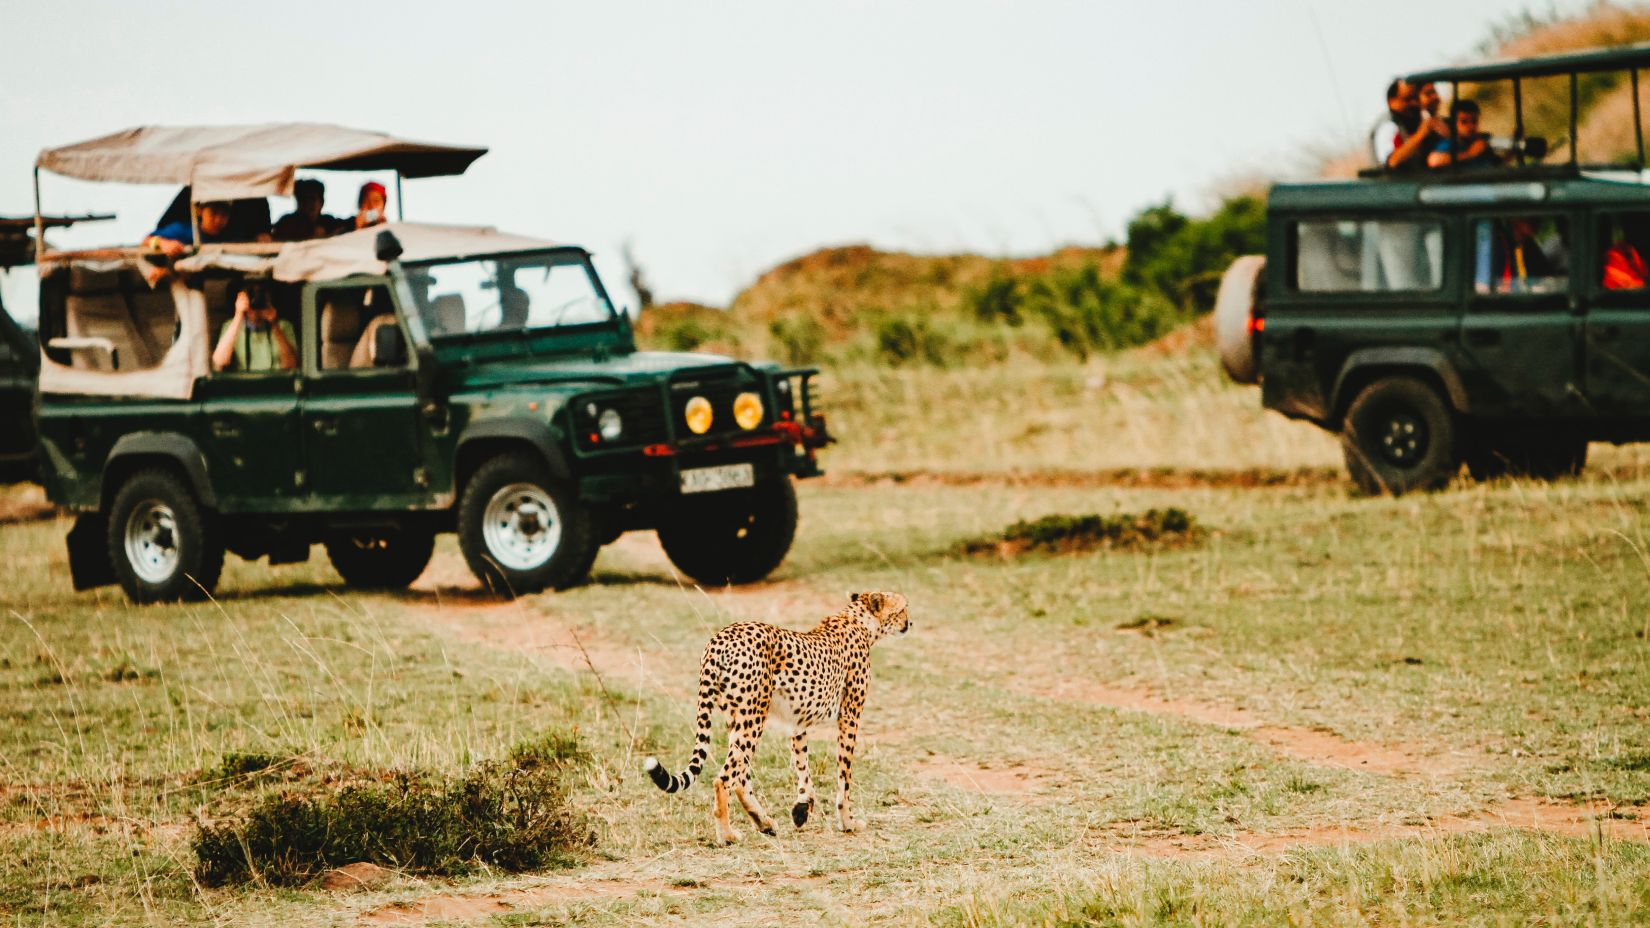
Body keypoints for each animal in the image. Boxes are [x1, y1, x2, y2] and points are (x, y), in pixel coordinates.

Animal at [643, 587, 910, 842]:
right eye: (903, 608)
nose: (910, 623)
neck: (858, 620)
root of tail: (721, 637)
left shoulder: (798, 721)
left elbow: (802, 765)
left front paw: (802, 808)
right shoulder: (850, 715)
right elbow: (844, 775)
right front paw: (848, 822)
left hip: (737, 717)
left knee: (740, 776)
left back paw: (763, 823)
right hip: (754, 715)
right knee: (725, 778)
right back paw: (727, 835)